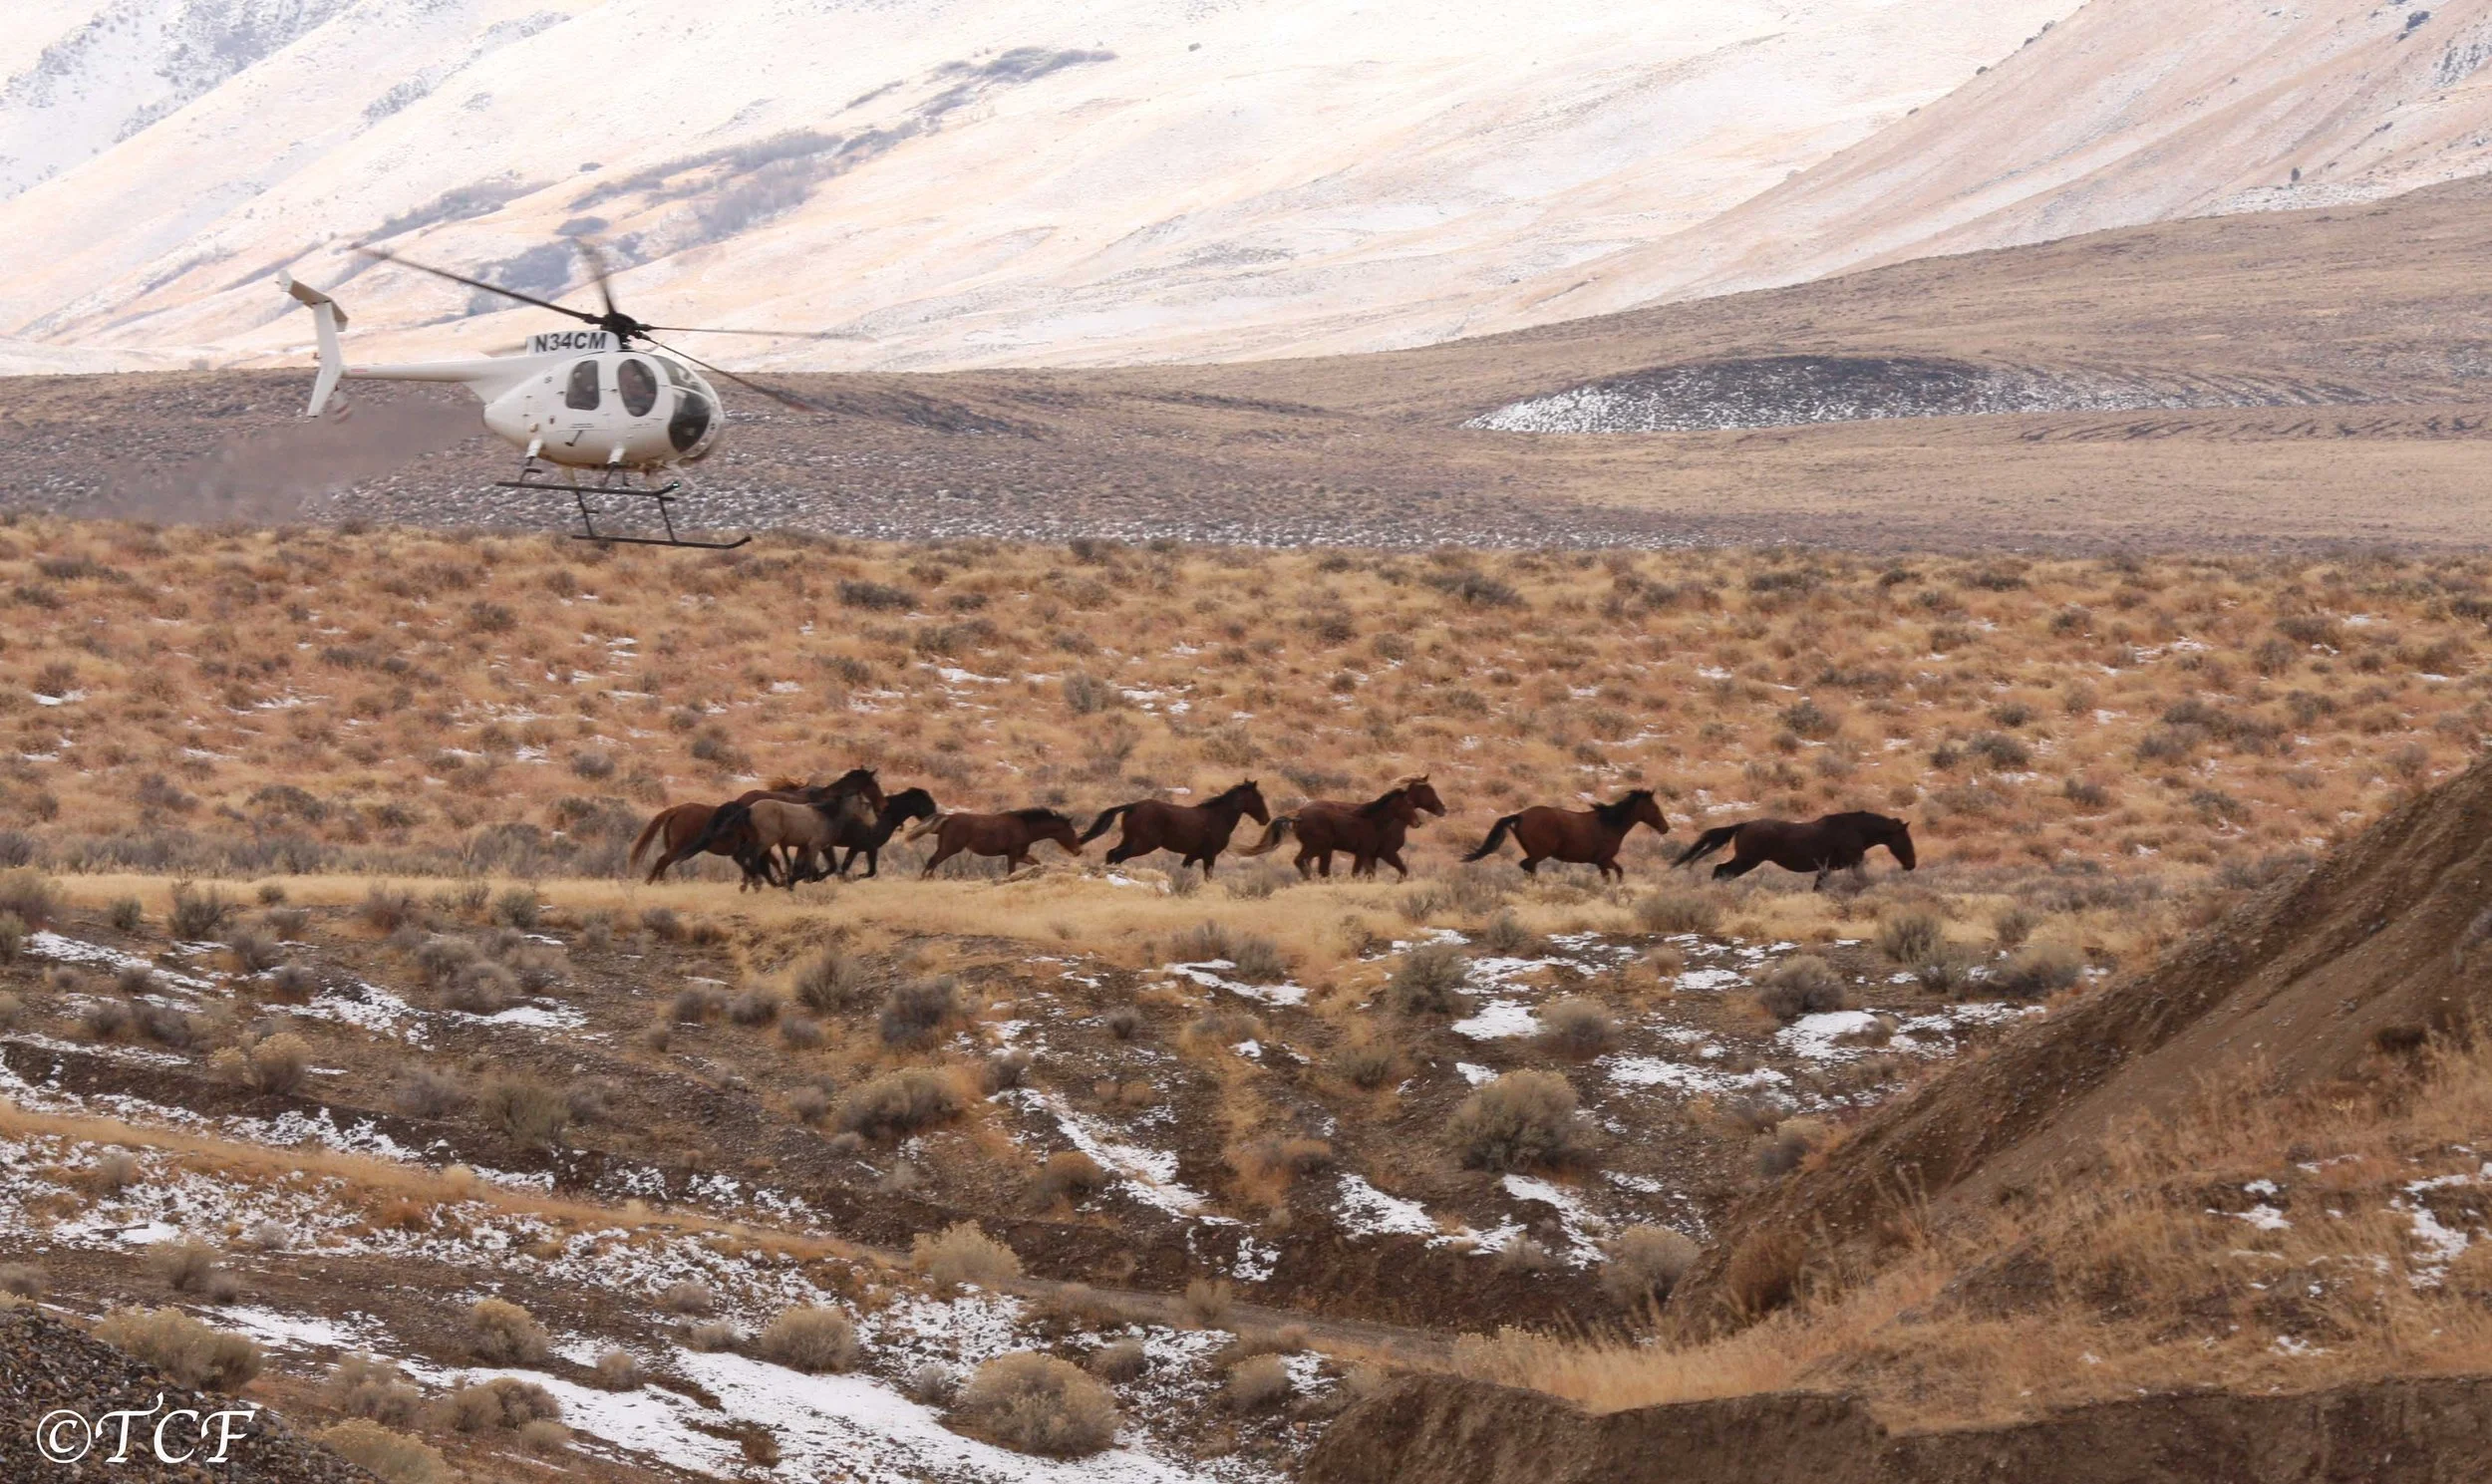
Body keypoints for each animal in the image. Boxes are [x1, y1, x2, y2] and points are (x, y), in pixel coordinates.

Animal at [911, 807, 1085, 876]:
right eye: (1071, 831)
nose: (1078, 851)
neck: (1026, 826)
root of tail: (947, 818)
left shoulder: (1021, 855)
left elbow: (1036, 862)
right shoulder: (1013, 854)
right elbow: (1011, 872)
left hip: (944, 846)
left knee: (932, 861)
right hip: (951, 847)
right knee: (933, 861)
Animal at [1078, 780, 1270, 879]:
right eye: (1259, 797)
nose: (1266, 819)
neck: (1219, 816)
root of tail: (1132, 806)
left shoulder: (1193, 855)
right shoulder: (1210, 855)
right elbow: (1208, 876)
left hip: (1130, 839)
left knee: (1111, 853)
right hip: (1144, 844)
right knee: (1117, 855)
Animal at [1236, 775, 1446, 880]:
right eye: (1428, 790)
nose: (1443, 809)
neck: (1375, 820)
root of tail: (1299, 813)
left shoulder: (1371, 855)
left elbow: (1371, 874)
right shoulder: (1377, 853)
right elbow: (1395, 872)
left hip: (1321, 850)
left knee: (1313, 867)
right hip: (1317, 847)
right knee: (1301, 862)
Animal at [1462, 788, 1670, 881]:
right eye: (1655, 808)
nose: (1665, 828)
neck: (1610, 823)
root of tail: (1520, 815)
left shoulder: (1605, 860)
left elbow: (1619, 871)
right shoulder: (1602, 861)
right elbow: (1609, 877)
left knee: (1528, 867)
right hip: (1539, 853)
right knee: (1527, 866)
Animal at [1673, 811, 1916, 890]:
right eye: (1905, 839)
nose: (1911, 864)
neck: (1855, 830)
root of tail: (1743, 825)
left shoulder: (1826, 868)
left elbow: (1818, 888)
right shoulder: (1854, 863)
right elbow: (1864, 883)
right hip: (1747, 860)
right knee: (1721, 871)